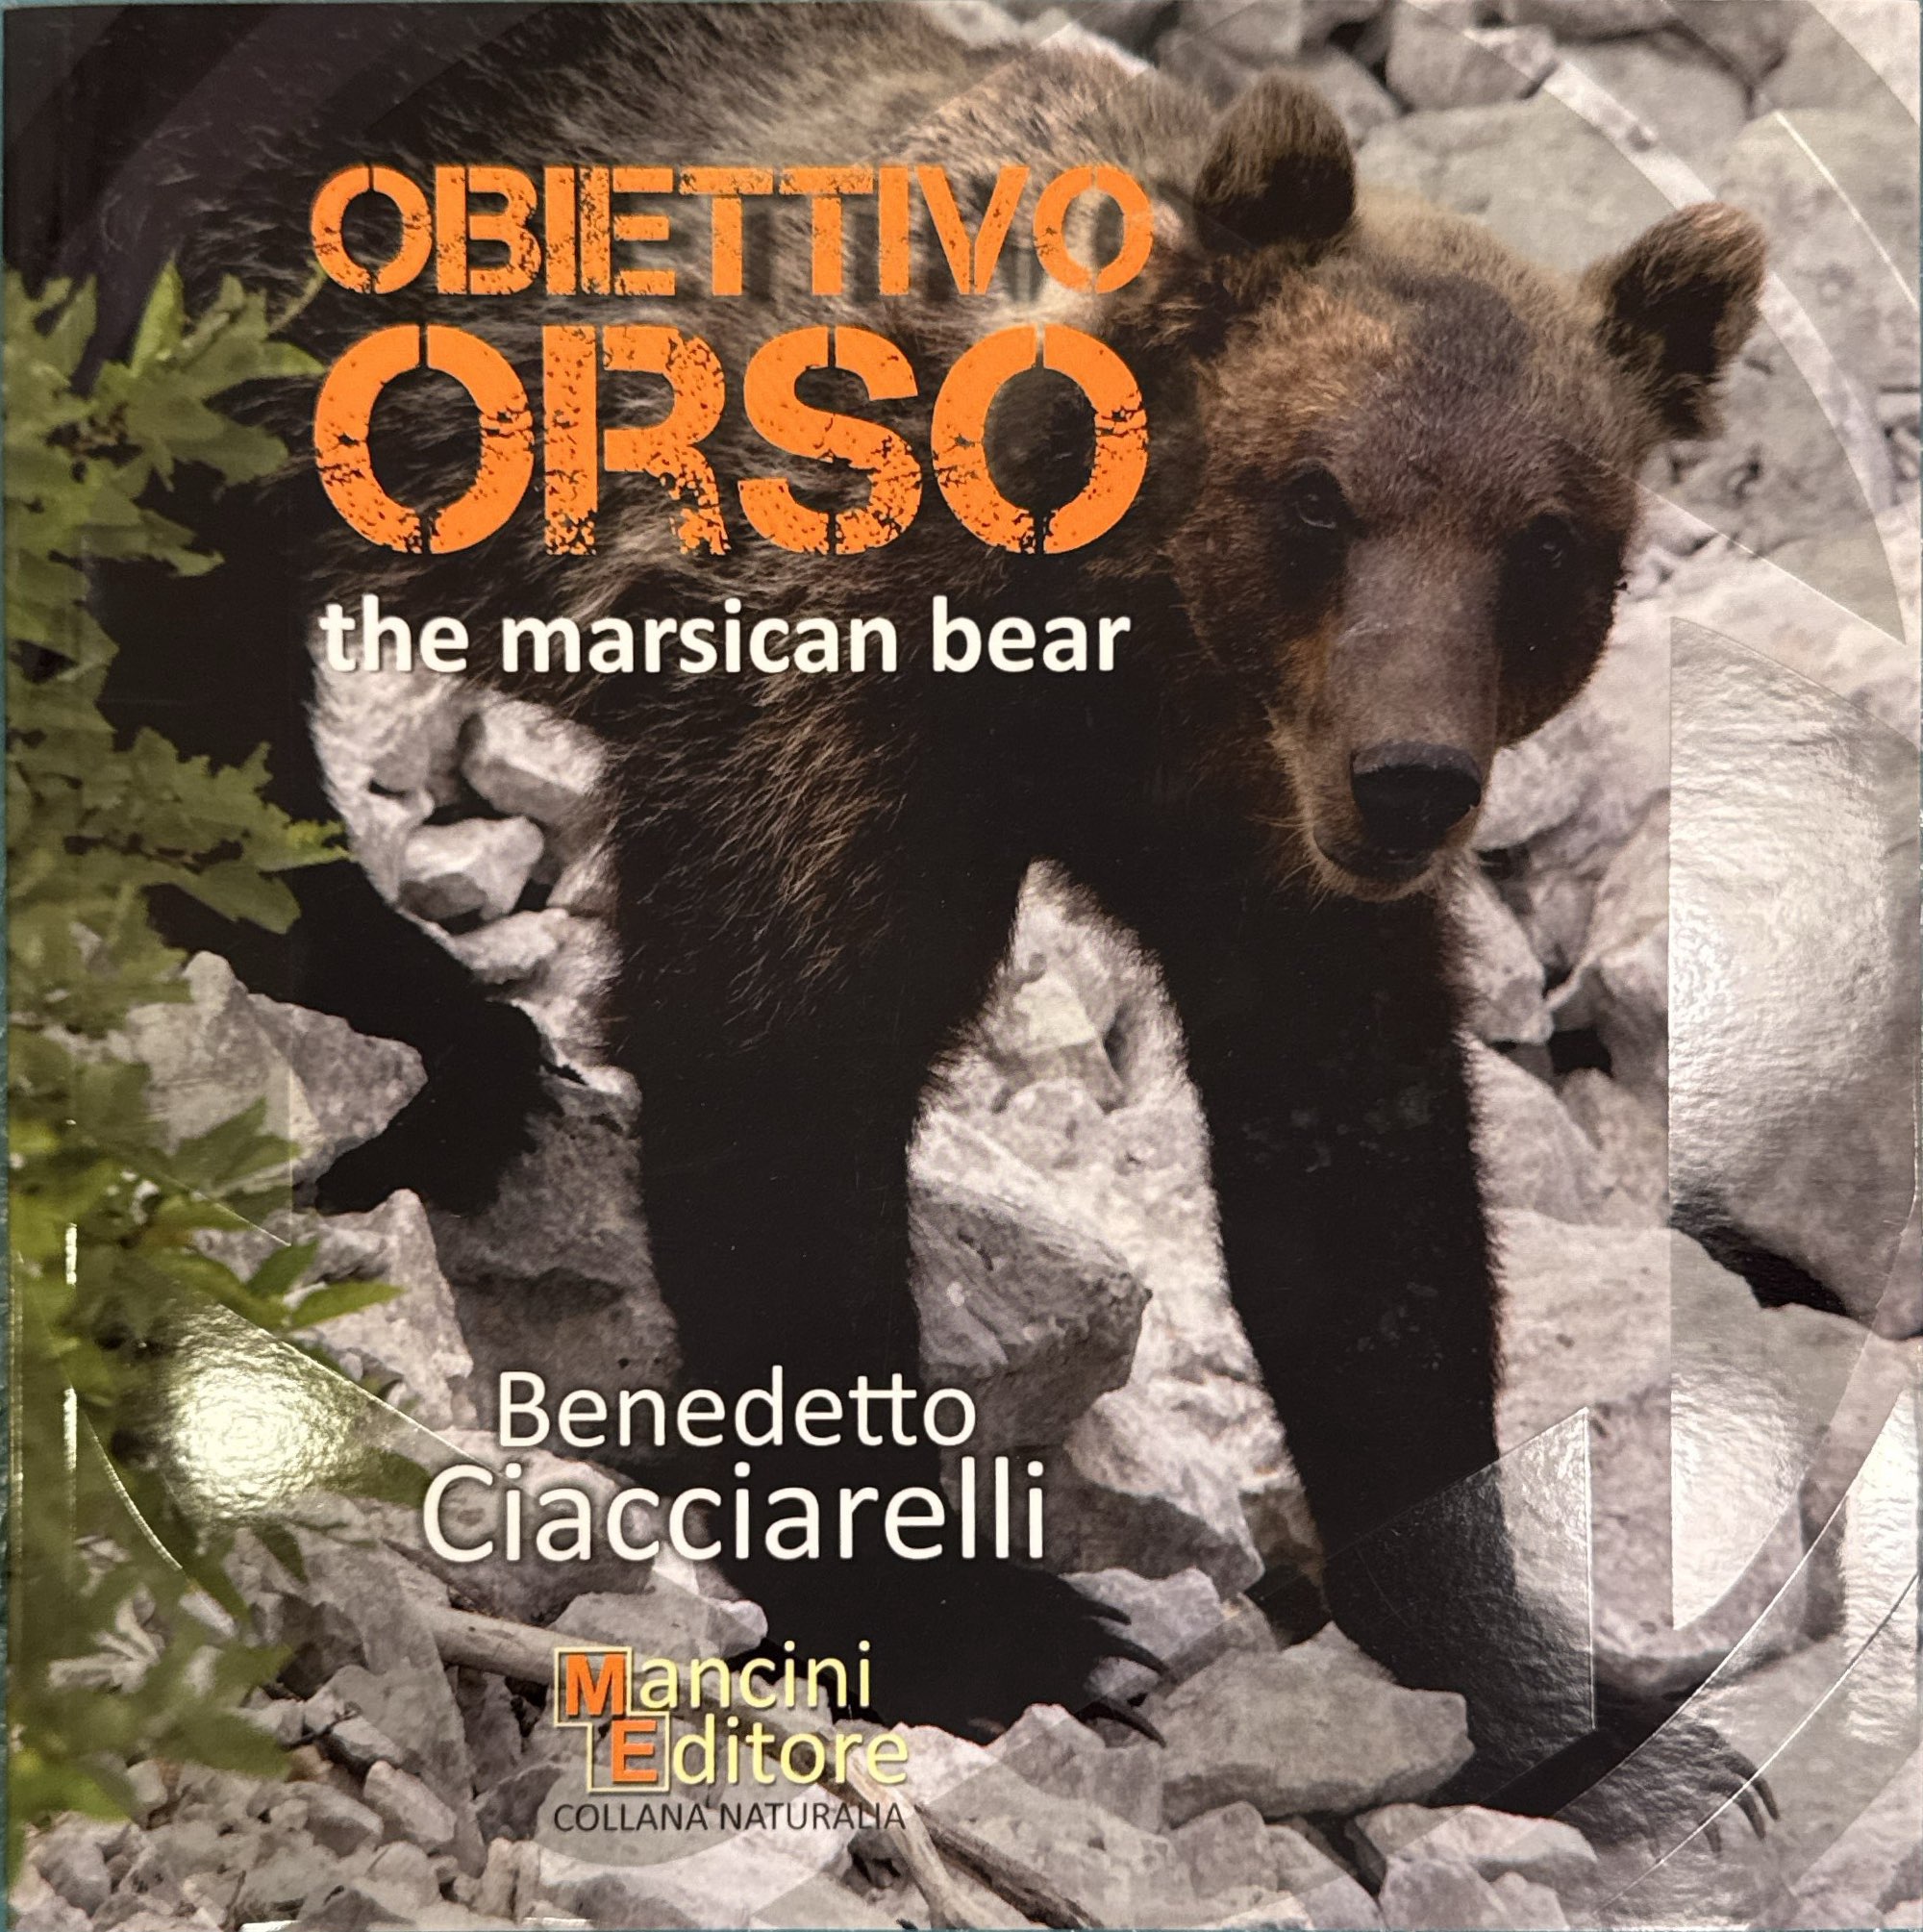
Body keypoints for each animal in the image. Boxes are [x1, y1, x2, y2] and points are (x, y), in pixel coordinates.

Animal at [10, 0, 1770, 1842]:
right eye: (1317, 495)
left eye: (1550, 538)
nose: (1413, 778)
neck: (1124, 661)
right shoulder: (839, 682)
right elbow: (786, 1072)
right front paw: (983, 1623)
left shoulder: (1258, 843)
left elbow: (1361, 1200)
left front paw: (1557, 1692)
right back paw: (434, 1037)